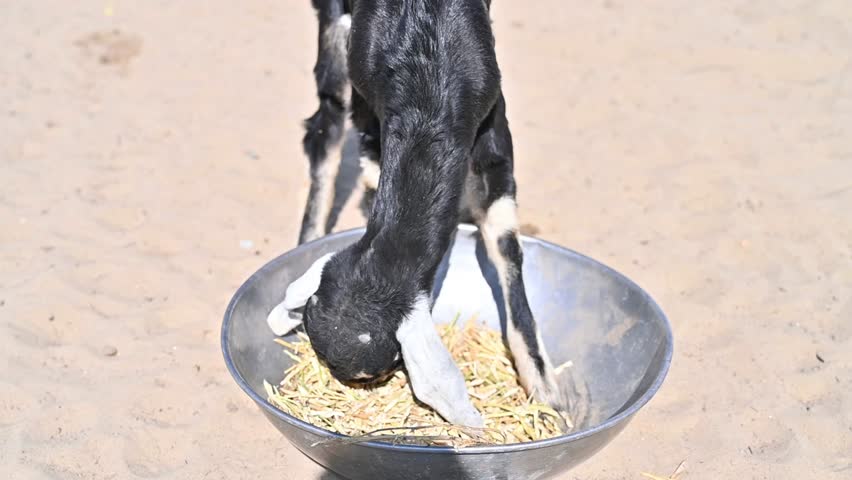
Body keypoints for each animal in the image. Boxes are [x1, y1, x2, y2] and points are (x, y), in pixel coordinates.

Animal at [268, 0, 579, 427]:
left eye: (387, 367)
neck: (427, 73)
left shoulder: (492, 121)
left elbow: (505, 243)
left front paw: (545, 390)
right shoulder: (370, 110)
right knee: (326, 120)